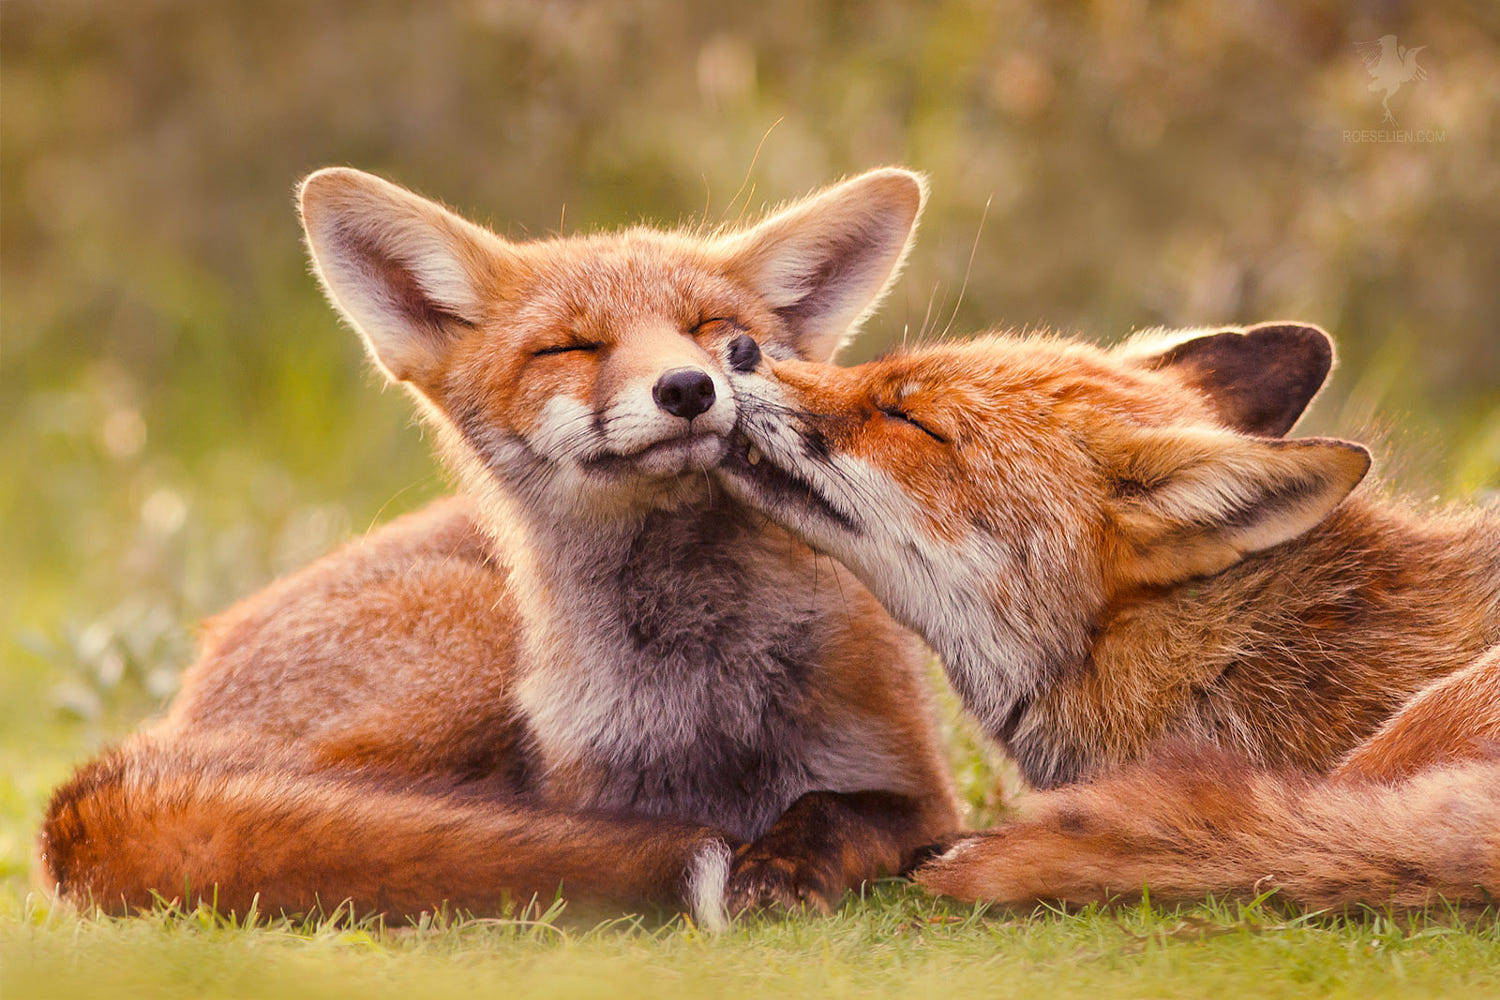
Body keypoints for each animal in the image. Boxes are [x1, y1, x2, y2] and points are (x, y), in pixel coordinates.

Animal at [38, 166, 960, 929]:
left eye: (714, 330)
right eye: (570, 347)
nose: (689, 388)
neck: (699, 694)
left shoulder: (918, 791)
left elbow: (835, 811)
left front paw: (781, 867)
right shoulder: (588, 783)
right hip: (474, 650)